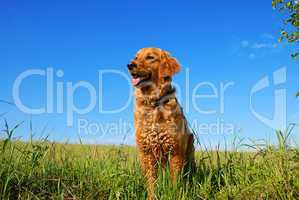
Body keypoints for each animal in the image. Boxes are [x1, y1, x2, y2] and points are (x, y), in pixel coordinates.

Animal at [127, 47, 196, 199]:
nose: (130, 65)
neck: (154, 103)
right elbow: (151, 183)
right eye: (136, 57)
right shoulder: (146, 152)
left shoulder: (175, 151)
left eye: (150, 57)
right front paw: (151, 197)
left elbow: (175, 182)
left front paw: (175, 195)